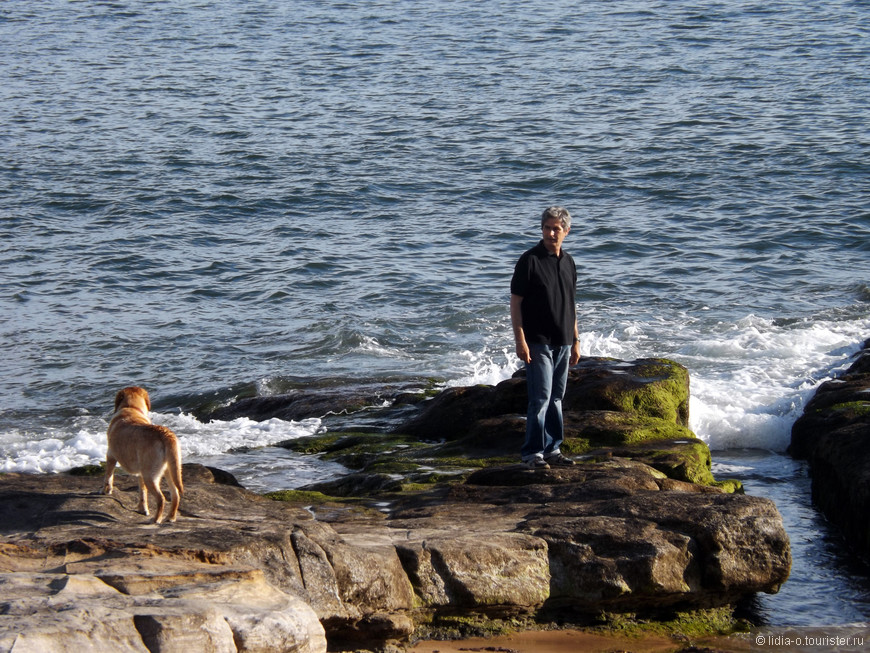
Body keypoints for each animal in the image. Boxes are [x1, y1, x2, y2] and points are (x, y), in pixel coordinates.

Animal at [103, 384, 183, 524]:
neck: (131, 408)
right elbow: (142, 492)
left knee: (161, 498)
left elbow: (108, 476)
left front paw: (105, 491)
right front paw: (142, 508)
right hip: (170, 470)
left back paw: (156, 519)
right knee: (175, 495)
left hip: (150, 475)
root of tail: (165, 434)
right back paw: (170, 517)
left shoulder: (111, 455)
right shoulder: (140, 472)